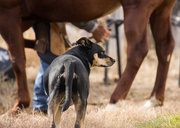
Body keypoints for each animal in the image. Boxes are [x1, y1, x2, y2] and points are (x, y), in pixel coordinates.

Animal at [0, 0, 176, 114]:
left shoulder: (9, 12)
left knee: (138, 50)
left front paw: (19, 105)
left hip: (137, 7)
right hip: (162, 9)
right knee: (165, 46)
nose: (112, 60)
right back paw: (154, 100)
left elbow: (17, 60)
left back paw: (115, 101)